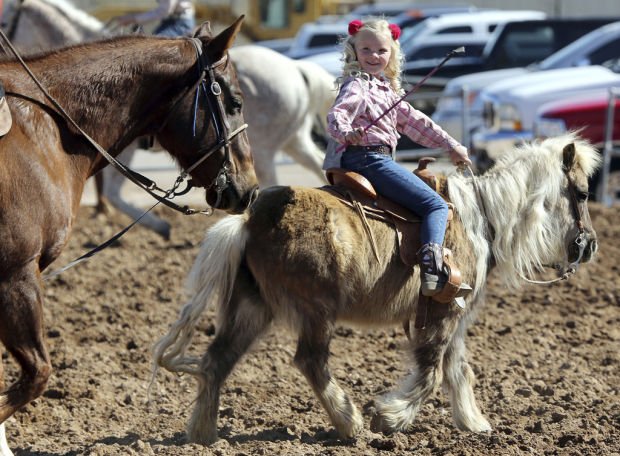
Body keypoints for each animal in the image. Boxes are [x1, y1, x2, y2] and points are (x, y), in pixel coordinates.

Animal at [2, 0, 336, 239]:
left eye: (5, 22)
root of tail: (296, 68)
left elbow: (111, 190)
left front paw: (156, 226)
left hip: (267, 151)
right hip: (293, 141)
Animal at [153, 133, 600, 446]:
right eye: (581, 192)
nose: (590, 245)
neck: (478, 217)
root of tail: (247, 221)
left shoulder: (453, 315)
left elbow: (457, 369)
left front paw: (473, 423)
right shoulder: (442, 315)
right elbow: (431, 372)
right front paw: (390, 417)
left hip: (251, 307)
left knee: (217, 360)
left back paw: (203, 434)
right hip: (315, 311)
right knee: (311, 362)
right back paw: (349, 422)